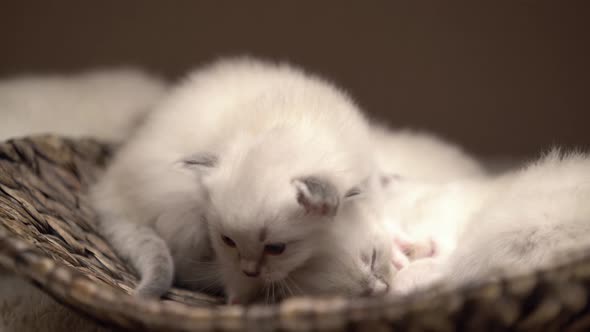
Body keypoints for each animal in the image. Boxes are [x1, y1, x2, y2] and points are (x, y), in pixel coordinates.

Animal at [91, 57, 382, 304]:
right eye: (228, 241)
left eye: (276, 248)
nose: (250, 271)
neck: (291, 122)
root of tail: (106, 191)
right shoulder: (221, 251)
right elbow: (232, 277)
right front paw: (241, 301)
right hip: (185, 216)